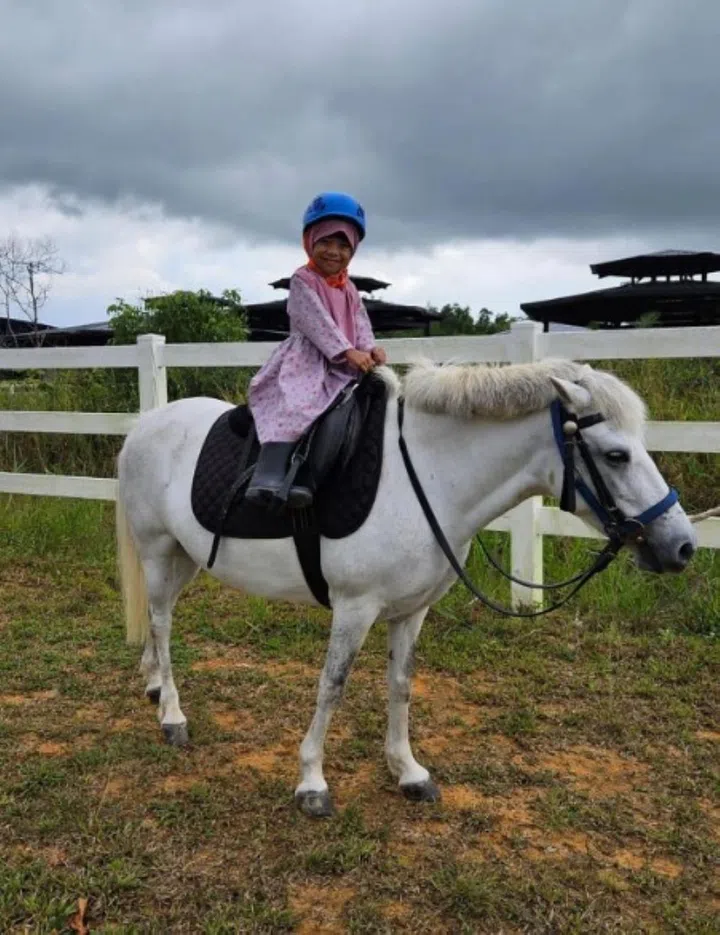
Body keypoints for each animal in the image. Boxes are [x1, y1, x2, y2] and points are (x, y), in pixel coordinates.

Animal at [115, 359, 696, 817]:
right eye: (617, 455)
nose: (684, 546)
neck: (430, 479)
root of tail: (148, 423)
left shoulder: (411, 611)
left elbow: (401, 685)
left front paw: (409, 771)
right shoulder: (354, 606)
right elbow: (332, 686)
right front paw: (311, 782)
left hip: (185, 557)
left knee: (159, 622)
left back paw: (153, 686)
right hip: (156, 549)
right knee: (162, 624)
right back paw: (172, 716)